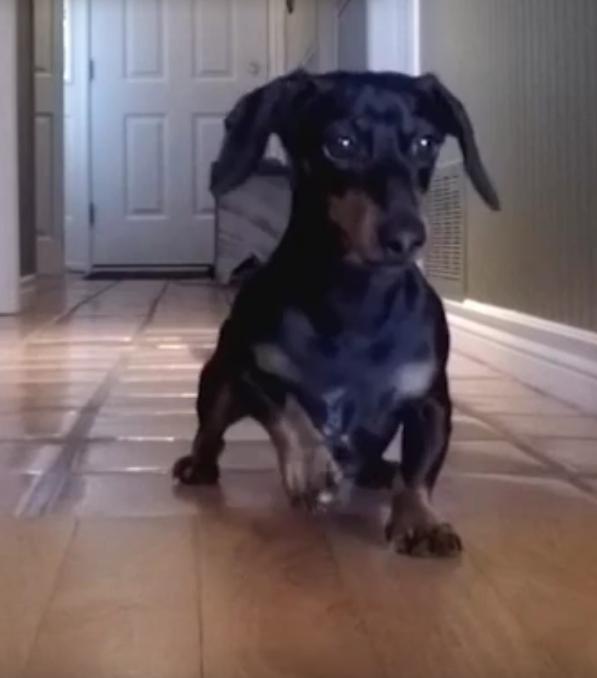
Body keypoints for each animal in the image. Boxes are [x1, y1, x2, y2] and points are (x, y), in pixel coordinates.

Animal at [173, 70, 498, 556]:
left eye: (426, 142)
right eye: (341, 144)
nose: (407, 237)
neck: (354, 302)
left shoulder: (431, 400)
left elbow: (420, 469)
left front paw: (420, 519)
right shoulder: (252, 373)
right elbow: (290, 410)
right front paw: (312, 467)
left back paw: (379, 471)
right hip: (218, 382)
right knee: (210, 430)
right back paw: (198, 464)